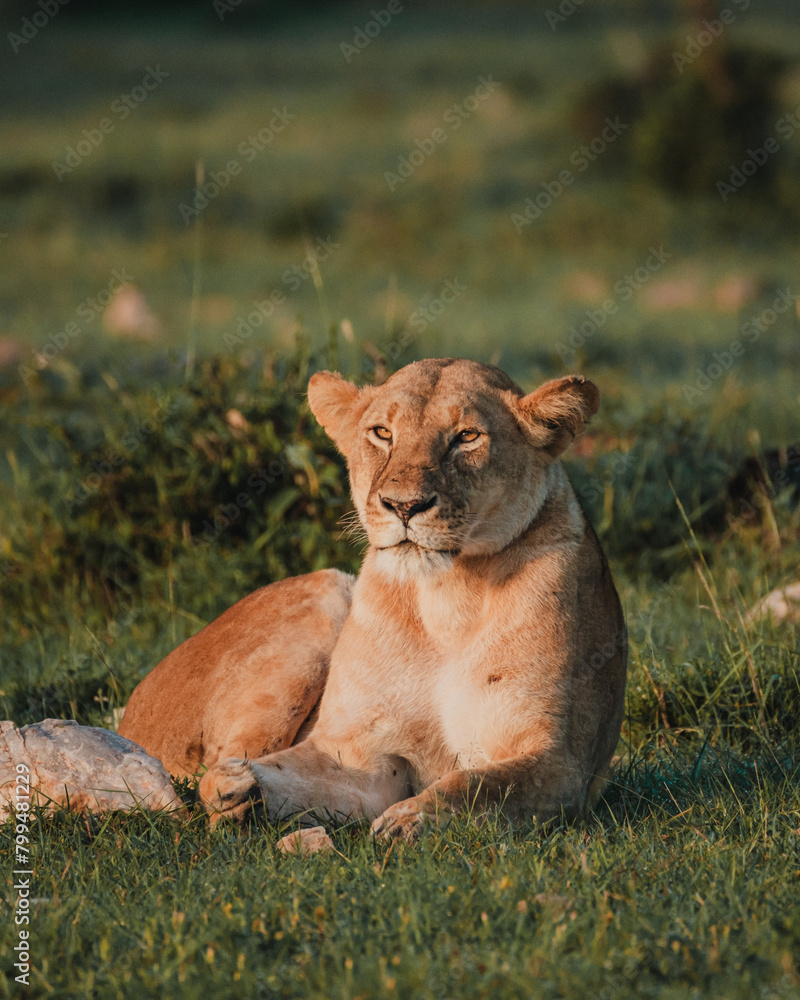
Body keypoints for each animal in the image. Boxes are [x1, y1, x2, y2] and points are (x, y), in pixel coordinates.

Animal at [122, 358, 627, 839]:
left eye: (466, 437)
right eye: (383, 433)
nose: (404, 506)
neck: (446, 596)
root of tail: (131, 713)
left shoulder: (559, 761)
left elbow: (475, 785)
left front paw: (408, 820)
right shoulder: (360, 756)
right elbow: (262, 775)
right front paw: (240, 790)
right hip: (326, 590)